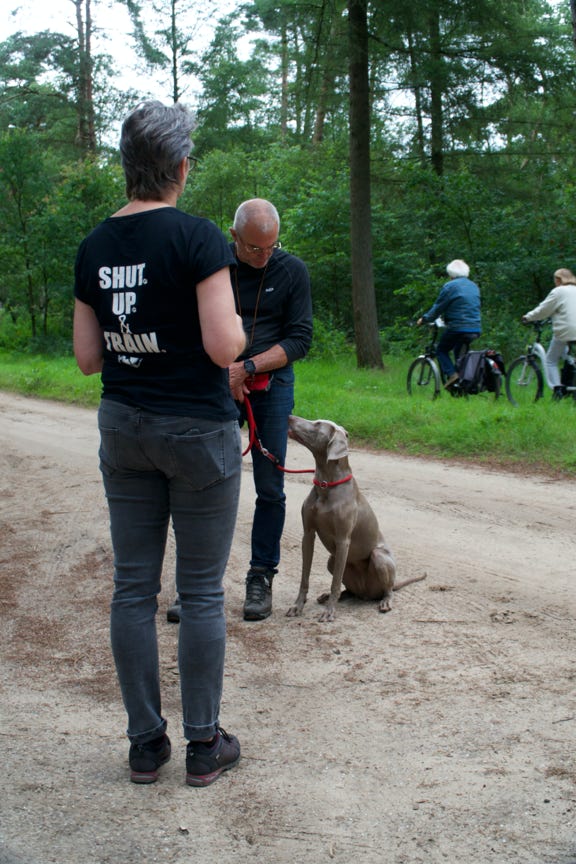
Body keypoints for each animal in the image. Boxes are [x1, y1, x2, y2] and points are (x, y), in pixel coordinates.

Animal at [286, 414, 426, 620]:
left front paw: (329, 612)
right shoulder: (308, 534)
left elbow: (335, 582)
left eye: (318, 424)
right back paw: (329, 596)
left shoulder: (343, 540)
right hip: (332, 559)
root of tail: (366, 593)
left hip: (379, 558)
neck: (327, 484)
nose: (290, 416)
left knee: (387, 589)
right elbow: (305, 576)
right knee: (348, 589)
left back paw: (385, 601)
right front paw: (297, 606)